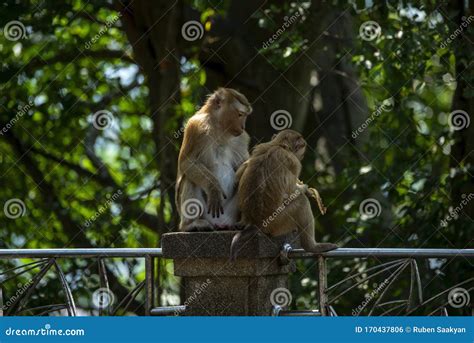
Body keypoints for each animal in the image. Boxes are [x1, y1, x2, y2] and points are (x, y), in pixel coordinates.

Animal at [176, 87, 254, 232]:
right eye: (240, 114)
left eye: (245, 115)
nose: (243, 127)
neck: (220, 129)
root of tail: (219, 222)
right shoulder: (195, 127)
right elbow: (187, 162)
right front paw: (213, 188)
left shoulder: (242, 138)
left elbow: (244, 166)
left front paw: (247, 165)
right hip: (207, 213)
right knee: (189, 178)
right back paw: (191, 224)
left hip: (231, 213)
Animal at [230, 130, 336, 260]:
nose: (302, 155)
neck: (279, 145)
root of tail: (255, 222)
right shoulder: (293, 162)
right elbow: (290, 192)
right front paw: (304, 188)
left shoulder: (261, 147)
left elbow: (242, 170)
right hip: (277, 224)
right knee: (301, 202)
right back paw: (311, 247)